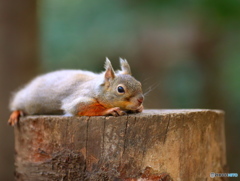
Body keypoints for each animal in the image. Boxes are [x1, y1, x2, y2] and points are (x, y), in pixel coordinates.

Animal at [8, 58, 144, 126]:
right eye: (120, 89)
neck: (95, 88)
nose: (140, 99)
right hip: (26, 100)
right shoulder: (79, 97)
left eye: (140, 83)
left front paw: (139, 108)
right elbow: (79, 107)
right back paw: (16, 113)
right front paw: (110, 110)